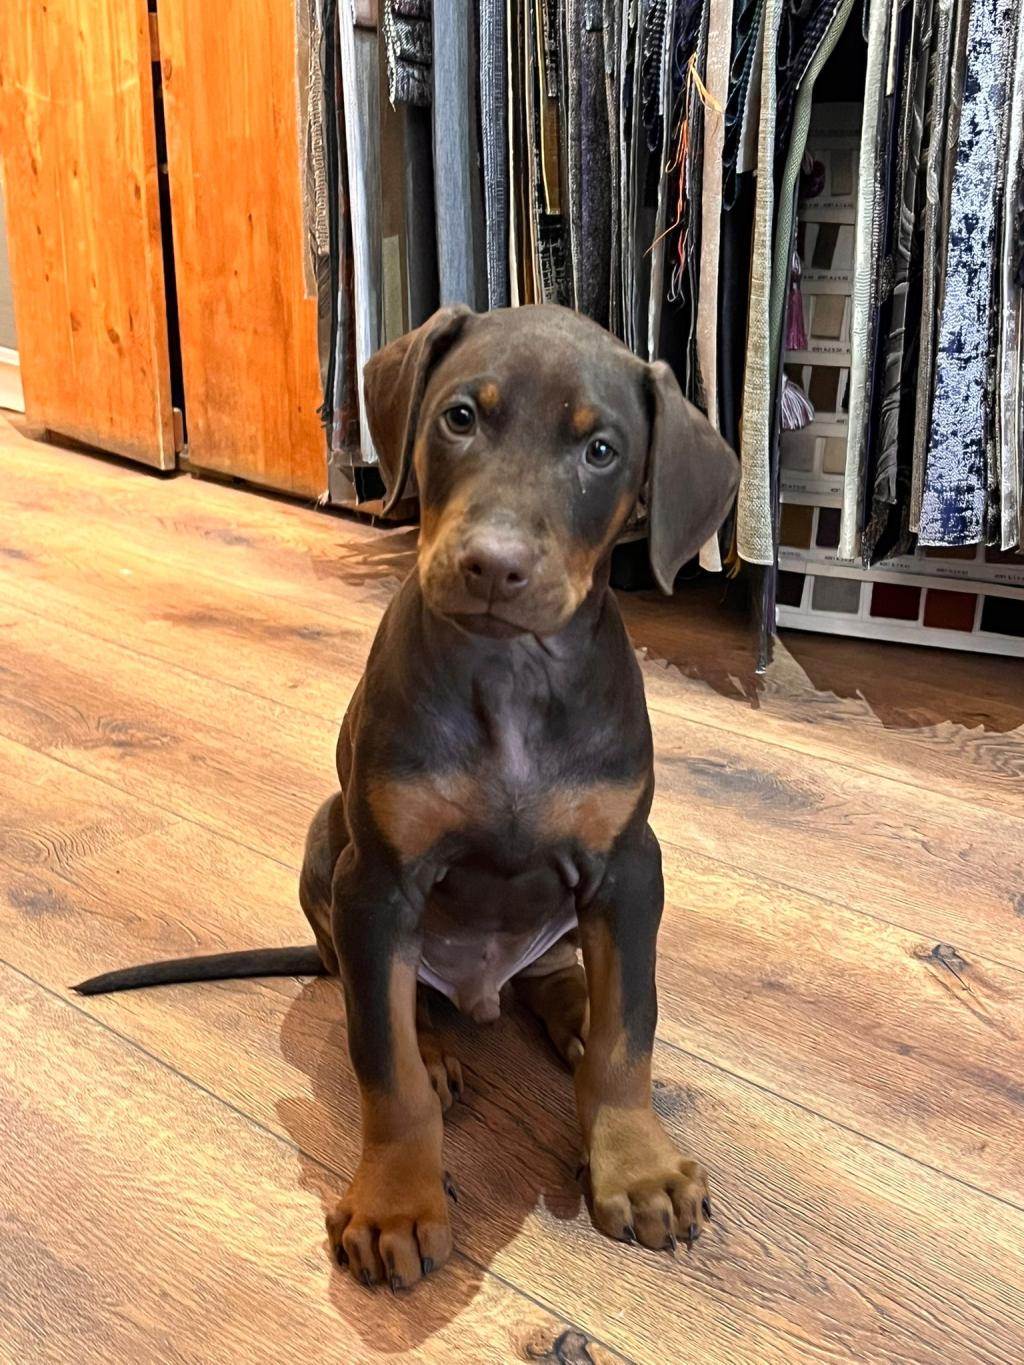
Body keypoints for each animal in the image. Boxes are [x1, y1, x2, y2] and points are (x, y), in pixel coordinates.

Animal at [75, 304, 739, 1290]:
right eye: (459, 417)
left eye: (602, 450)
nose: (494, 566)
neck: (510, 673)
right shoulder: (380, 879)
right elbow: (380, 1059)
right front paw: (396, 1201)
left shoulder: (629, 867)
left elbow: (632, 1033)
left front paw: (639, 1167)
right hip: (331, 842)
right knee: (383, 992)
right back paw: (436, 1046)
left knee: (554, 974)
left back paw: (572, 1005)